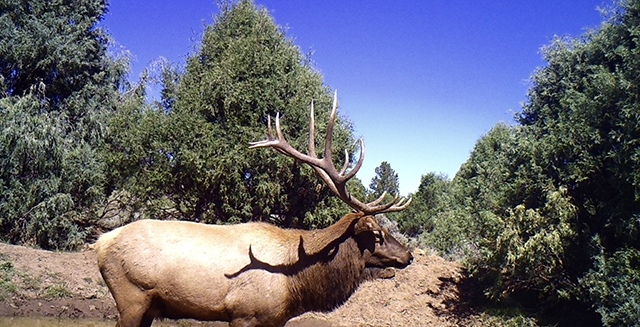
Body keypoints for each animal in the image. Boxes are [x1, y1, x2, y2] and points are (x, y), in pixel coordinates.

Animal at [94, 91, 416, 327]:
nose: (409, 255)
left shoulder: (275, 320)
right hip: (131, 297)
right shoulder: (244, 315)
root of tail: (100, 242)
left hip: (148, 307)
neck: (296, 283)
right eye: (377, 233)